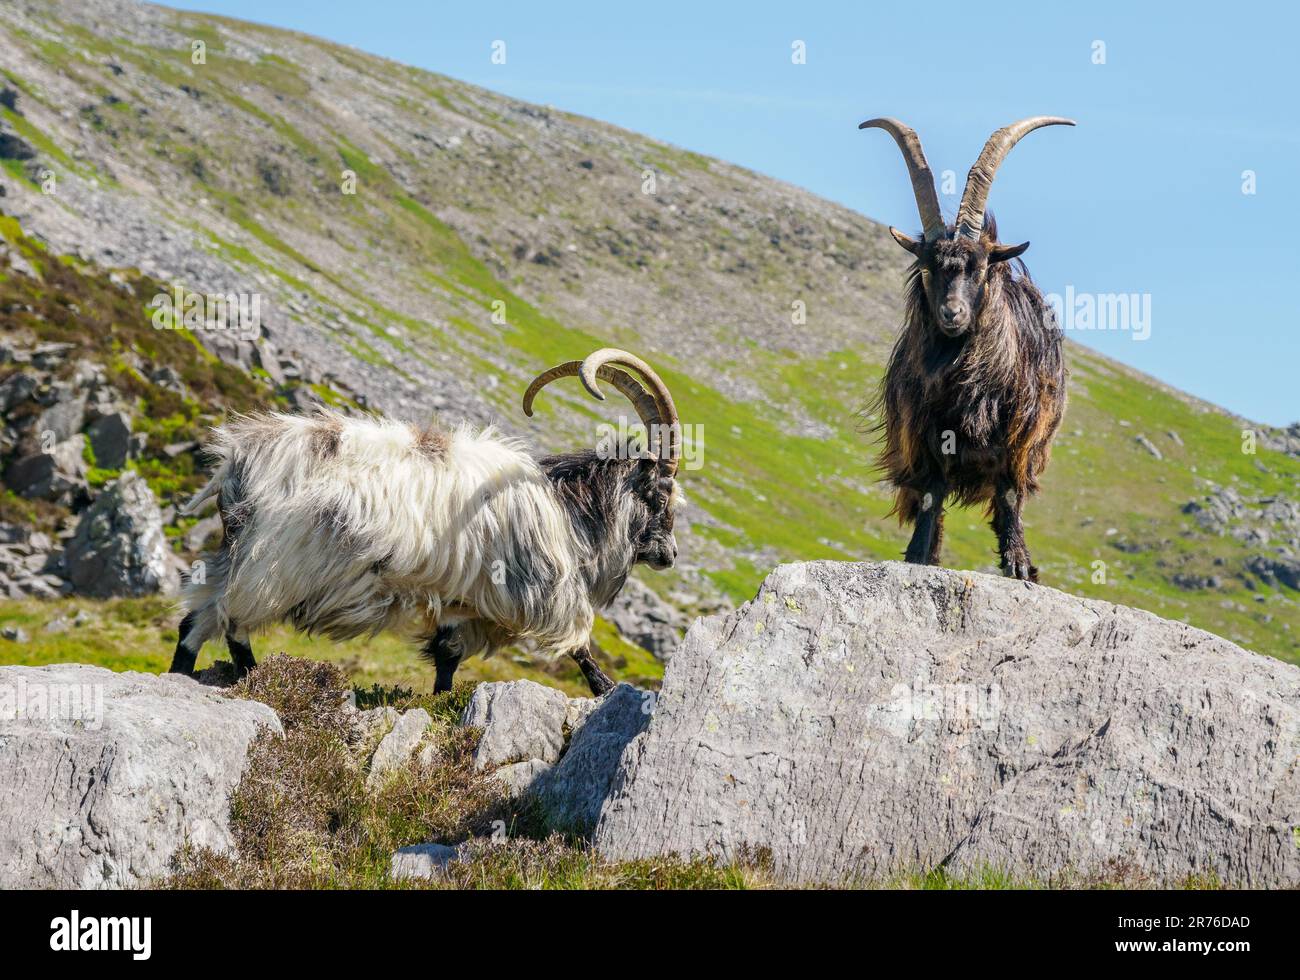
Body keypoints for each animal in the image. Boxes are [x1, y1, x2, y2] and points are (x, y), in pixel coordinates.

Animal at [166, 348, 685, 696]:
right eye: (662, 494)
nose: (671, 555)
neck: (568, 512)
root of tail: (236, 462)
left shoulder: (464, 599)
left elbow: (446, 657)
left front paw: (442, 704)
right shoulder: (542, 588)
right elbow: (579, 645)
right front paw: (607, 691)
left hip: (239, 555)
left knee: (197, 619)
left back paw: (192, 675)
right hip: (270, 565)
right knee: (229, 622)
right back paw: (251, 679)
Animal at [861, 116, 1072, 581]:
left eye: (978, 267)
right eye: (928, 267)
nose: (951, 313)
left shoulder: (1019, 436)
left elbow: (1010, 495)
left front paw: (1019, 565)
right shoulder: (924, 435)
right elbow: (930, 497)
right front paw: (919, 557)